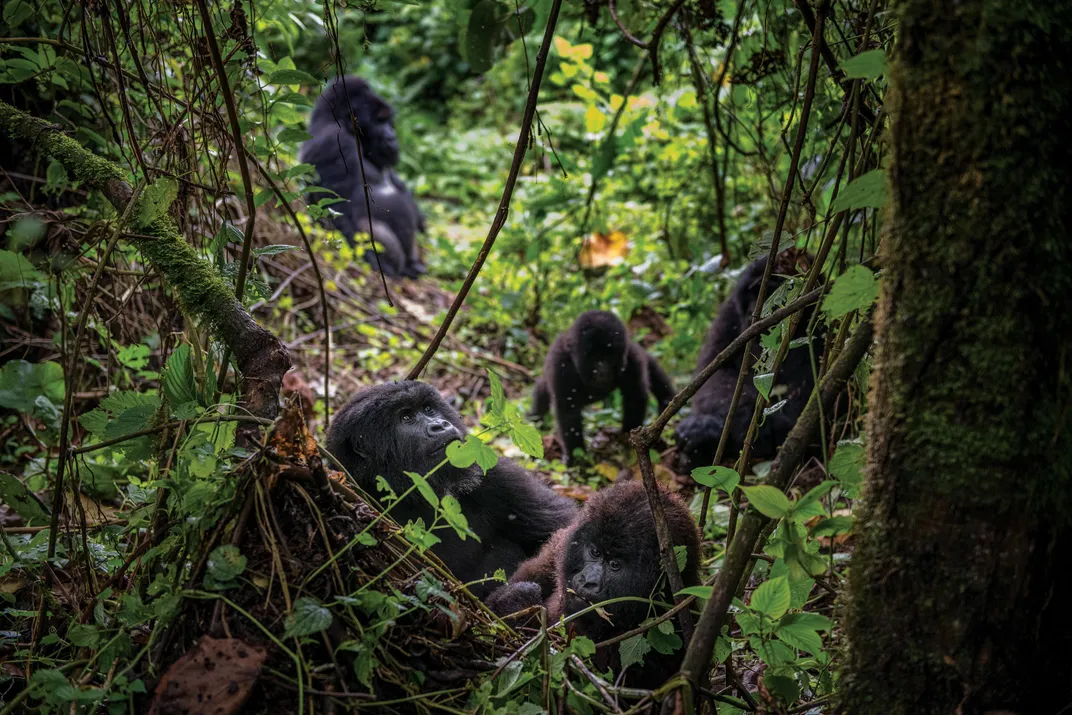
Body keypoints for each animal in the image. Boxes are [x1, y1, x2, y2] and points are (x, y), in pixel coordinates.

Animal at [300, 77, 424, 278]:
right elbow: (337, 209)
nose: (392, 137)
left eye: (388, 121)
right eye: (379, 121)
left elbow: (400, 187)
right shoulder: (334, 144)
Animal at [531, 310, 673, 467]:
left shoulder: (631, 357)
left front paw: (626, 440)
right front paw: (576, 456)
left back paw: (667, 401)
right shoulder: (560, 364)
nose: (603, 370)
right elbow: (568, 411)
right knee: (542, 390)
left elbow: (634, 396)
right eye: (594, 357)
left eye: (609, 356)